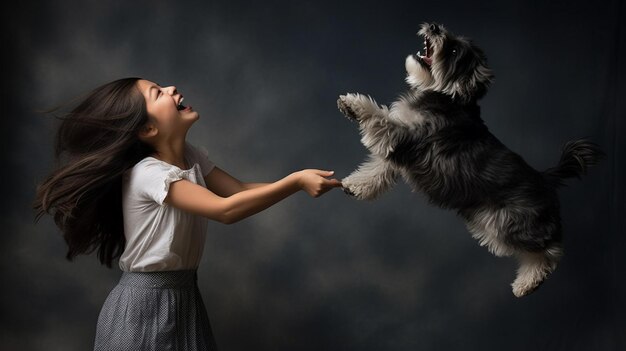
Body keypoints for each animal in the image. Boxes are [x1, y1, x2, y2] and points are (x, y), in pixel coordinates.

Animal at [336, 22, 604, 296]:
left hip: (511, 224)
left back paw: (528, 282)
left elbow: (379, 118)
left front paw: (353, 104)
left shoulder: (405, 137)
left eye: (454, 51)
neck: (447, 94)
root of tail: (545, 178)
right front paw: (356, 186)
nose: (435, 26)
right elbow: (378, 170)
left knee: (552, 251)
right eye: (450, 37)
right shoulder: (397, 151)